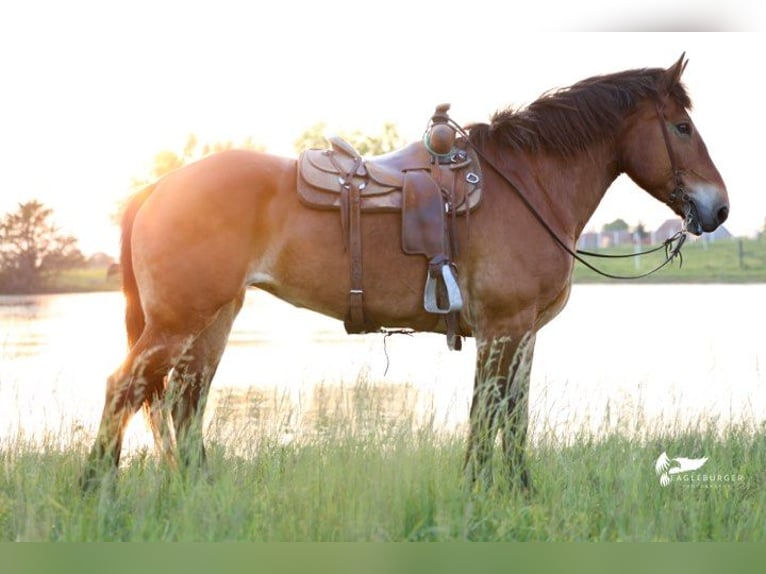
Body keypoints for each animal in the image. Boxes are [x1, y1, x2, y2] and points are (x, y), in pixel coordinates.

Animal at [82, 55, 728, 489]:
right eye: (681, 127)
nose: (719, 208)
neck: (527, 183)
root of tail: (157, 186)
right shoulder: (503, 329)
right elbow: (487, 415)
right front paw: (479, 493)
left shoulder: (520, 336)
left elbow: (513, 417)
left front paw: (517, 492)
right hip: (176, 321)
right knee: (124, 389)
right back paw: (96, 489)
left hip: (213, 320)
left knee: (184, 402)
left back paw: (201, 492)